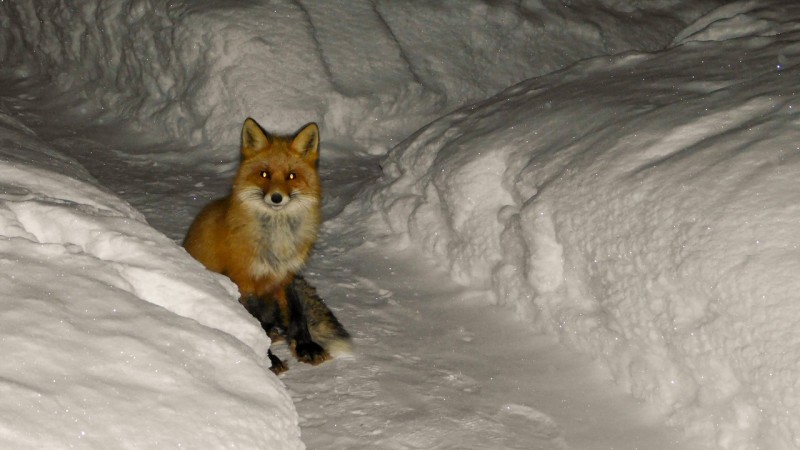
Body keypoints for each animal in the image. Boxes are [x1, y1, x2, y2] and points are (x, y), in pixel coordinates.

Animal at [189, 118, 352, 374]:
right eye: (264, 174)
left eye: (292, 176)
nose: (276, 198)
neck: (277, 243)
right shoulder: (244, 281)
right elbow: (253, 325)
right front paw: (269, 360)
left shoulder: (286, 275)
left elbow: (297, 315)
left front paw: (305, 346)